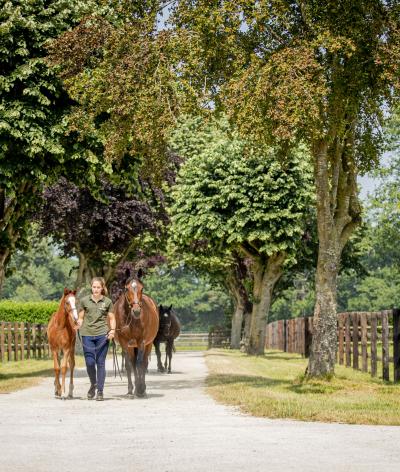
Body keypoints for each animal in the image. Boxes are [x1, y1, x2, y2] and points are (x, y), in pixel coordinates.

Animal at [113, 270, 159, 398]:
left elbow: (140, 364)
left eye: (141, 288)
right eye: (126, 288)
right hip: (131, 346)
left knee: (144, 363)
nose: (137, 311)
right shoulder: (124, 343)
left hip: (148, 344)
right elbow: (129, 365)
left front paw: (140, 388)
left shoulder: (141, 341)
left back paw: (143, 389)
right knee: (133, 363)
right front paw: (131, 389)